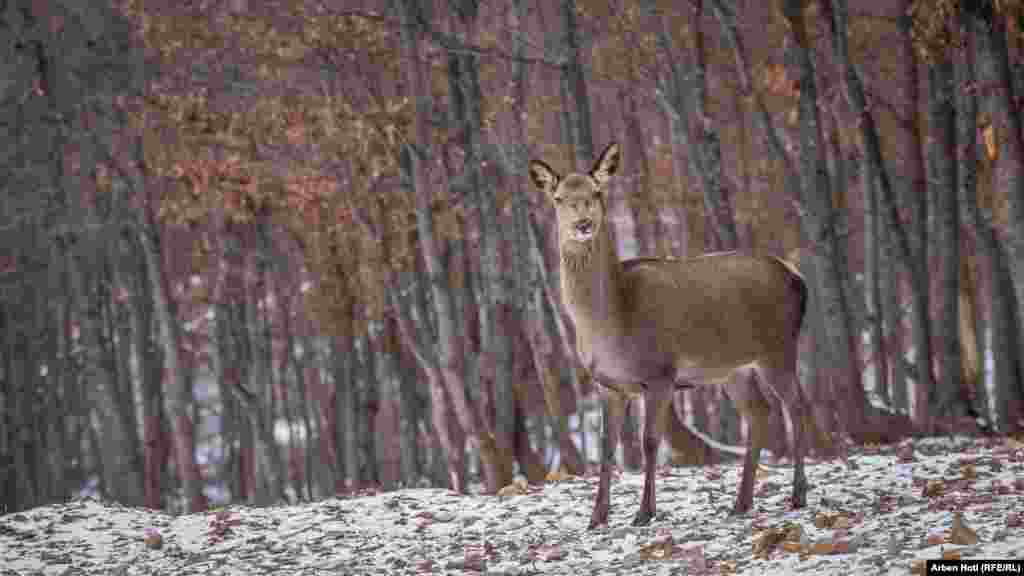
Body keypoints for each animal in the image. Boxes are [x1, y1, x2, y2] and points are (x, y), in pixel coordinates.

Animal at [532, 141, 811, 528]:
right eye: (558, 198)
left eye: (597, 192)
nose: (583, 224)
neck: (614, 321)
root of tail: (797, 278)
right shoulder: (608, 385)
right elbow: (607, 448)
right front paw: (596, 518)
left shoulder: (660, 373)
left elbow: (650, 441)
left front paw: (644, 512)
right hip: (733, 368)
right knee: (759, 411)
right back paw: (741, 502)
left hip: (778, 347)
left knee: (796, 405)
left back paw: (797, 495)